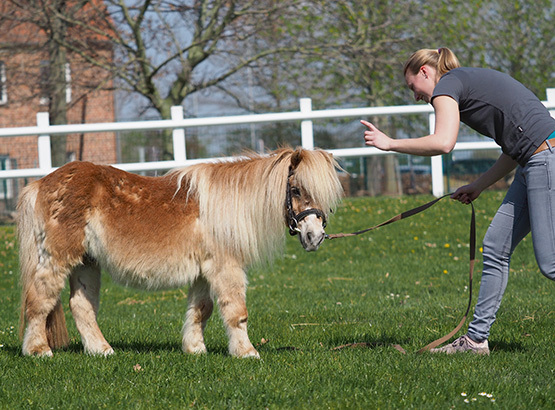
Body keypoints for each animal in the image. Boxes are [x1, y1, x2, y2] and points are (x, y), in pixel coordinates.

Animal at [16, 148, 344, 358]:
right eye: (297, 190)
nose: (315, 237)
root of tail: (40, 183)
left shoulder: (203, 273)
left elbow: (201, 310)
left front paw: (195, 349)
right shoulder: (226, 268)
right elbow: (236, 312)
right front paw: (247, 352)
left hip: (87, 263)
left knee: (81, 306)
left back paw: (101, 351)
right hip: (58, 258)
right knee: (40, 299)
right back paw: (38, 351)